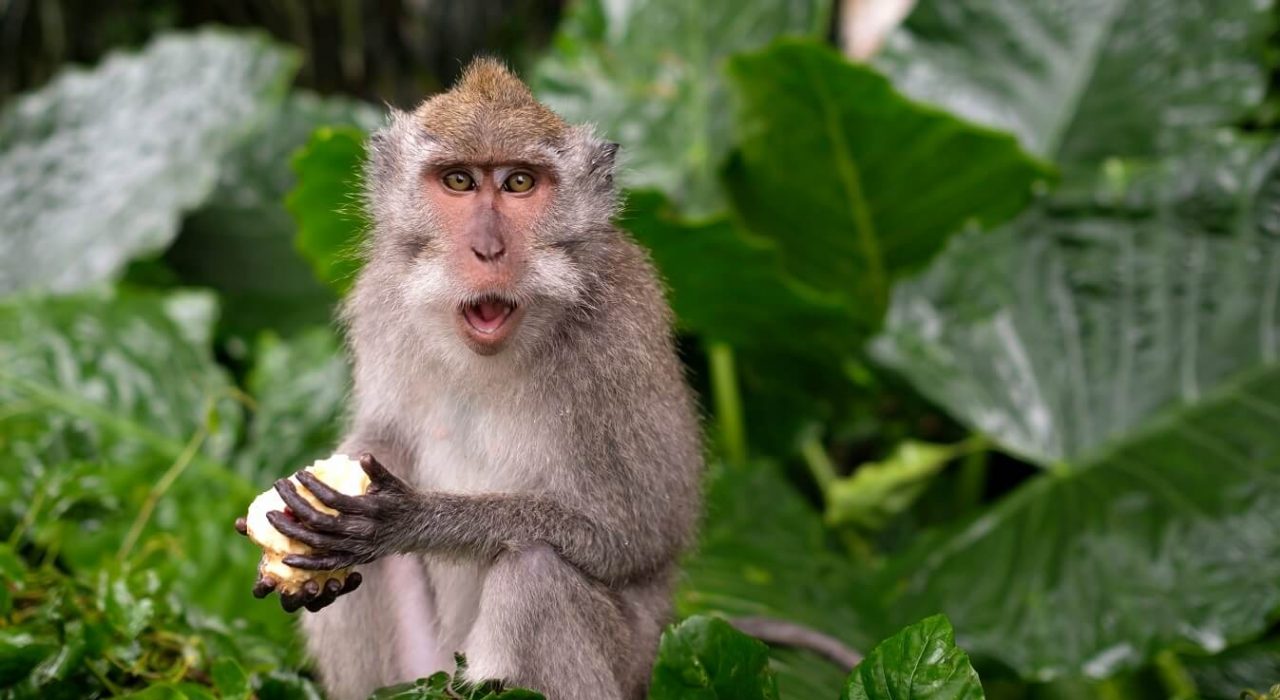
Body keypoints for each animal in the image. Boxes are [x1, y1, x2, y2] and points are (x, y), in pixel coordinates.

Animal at [235, 58, 706, 700]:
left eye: (519, 183)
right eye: (458, 181)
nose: (487, 248)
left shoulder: (618, 340)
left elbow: (638, 533)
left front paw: (415, 518)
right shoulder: (381, 302)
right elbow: (380, 439)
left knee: (535, 573)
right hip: (420, 671)